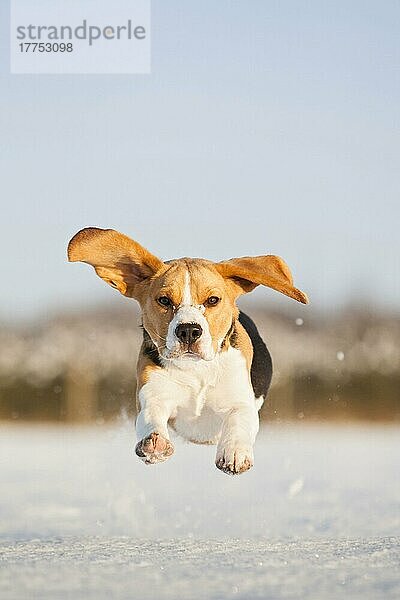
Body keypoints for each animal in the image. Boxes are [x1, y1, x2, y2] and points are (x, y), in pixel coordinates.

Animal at [69, 227, 308, 476]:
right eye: (164, 300)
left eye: (213, 300)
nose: (189, 331)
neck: (196, 369)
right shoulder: (152, 393)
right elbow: (151, 414)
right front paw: (155, 443)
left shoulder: (241, 400)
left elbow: (238, 419)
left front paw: (234, 452)